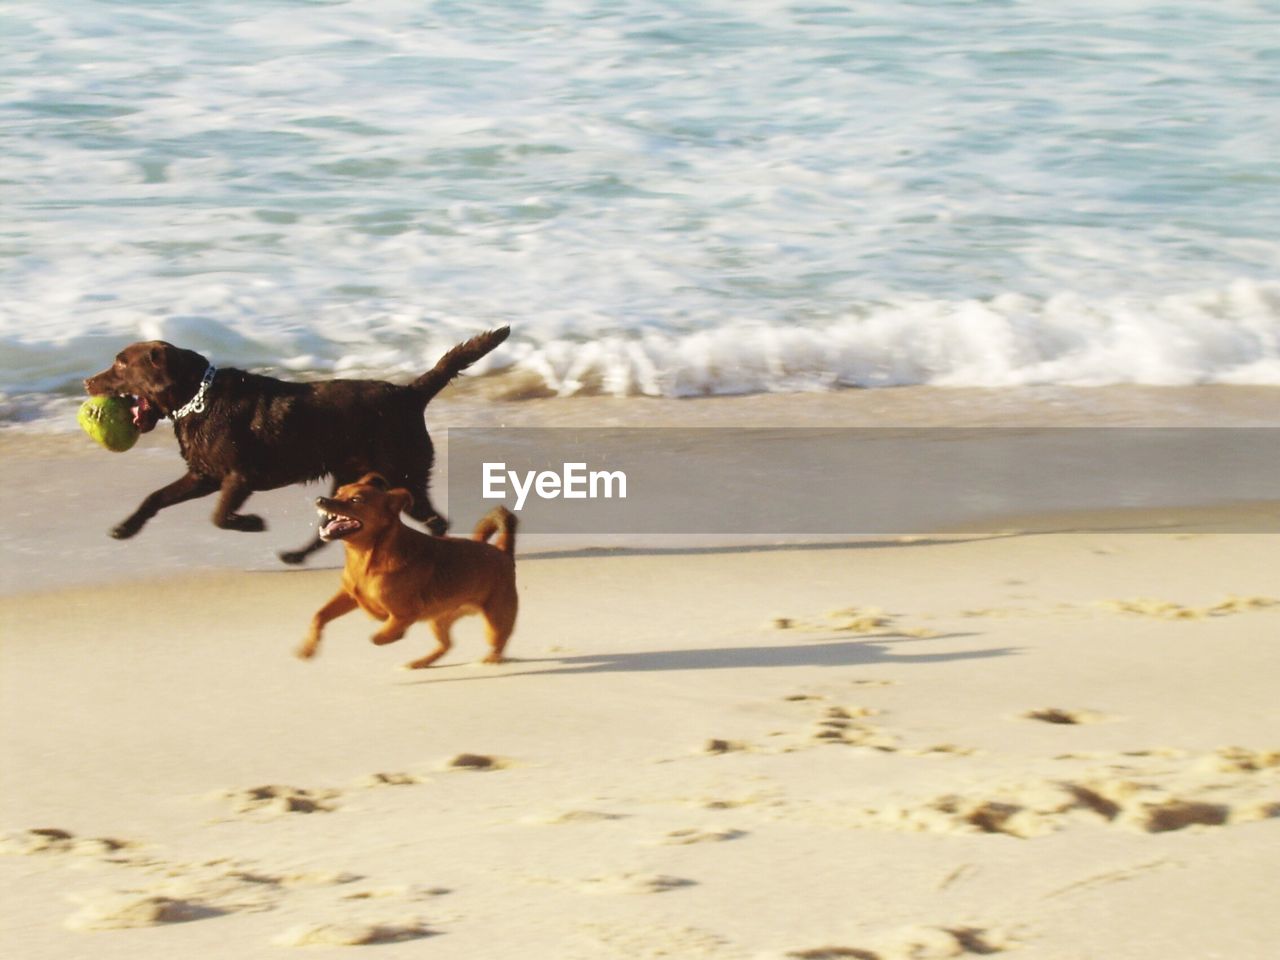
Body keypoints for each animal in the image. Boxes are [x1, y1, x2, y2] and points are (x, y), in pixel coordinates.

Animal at [77, 327, 509, 563]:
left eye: (120, 364)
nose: (86, 381)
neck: (199, 397)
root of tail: (409, 393)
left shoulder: (239, 477)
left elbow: (218, 516)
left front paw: (251, 522)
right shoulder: (203, 475)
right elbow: (154, 498)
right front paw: (125, 528)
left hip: (402, 473)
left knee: (434, 520)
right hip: (352, 480)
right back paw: (297, 554)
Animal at [296, 471, 517, 670]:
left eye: (356, 500)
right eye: (338, 492)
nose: (321, 499)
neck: (365, 557)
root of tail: (503, 551)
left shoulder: (405, 614)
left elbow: (378, 635)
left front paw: (389, 635)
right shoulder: (348, 596)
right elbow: (319, 615)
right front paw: (307, 649)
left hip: (495, 621)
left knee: (498, 644)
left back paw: (490, 660)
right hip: (438, 620)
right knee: (446, 645)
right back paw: (419, 662)